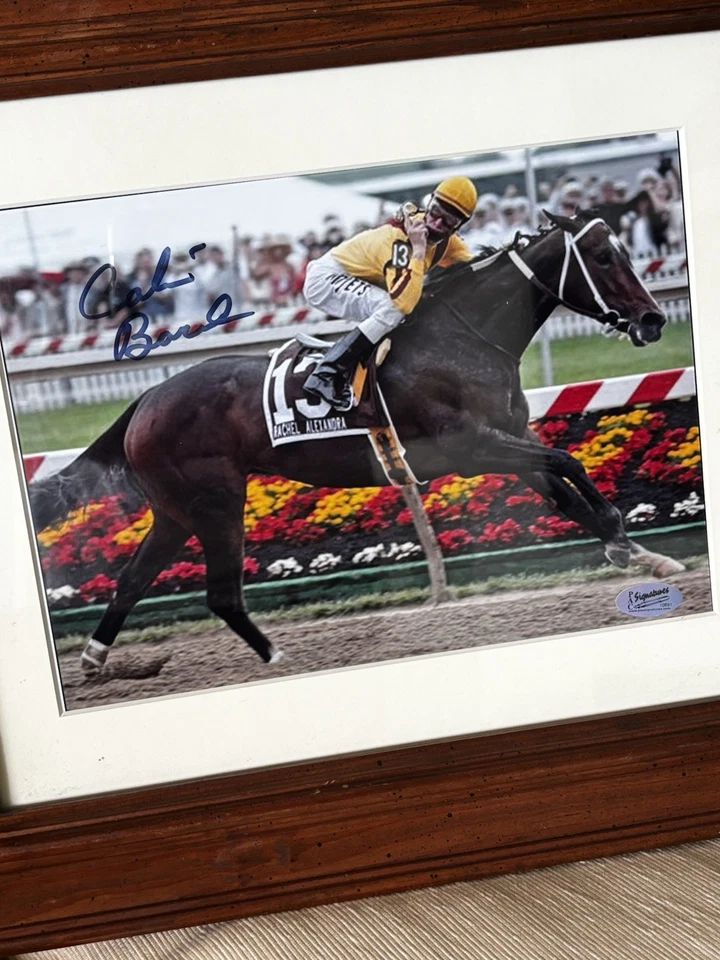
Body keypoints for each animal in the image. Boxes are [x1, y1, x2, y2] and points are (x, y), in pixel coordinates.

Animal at [30, 210, 682, 672]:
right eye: (603, 256)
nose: (653, 320)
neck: (463, 337)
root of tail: (145, 400)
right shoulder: (471, 446)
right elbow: (569, 459)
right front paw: (624, 537)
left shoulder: (510, 437)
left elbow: (565, 486)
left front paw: (640, 552)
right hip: (215, 502)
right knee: (220, 594)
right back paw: (276, 656)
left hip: (174, 511)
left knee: (134, 577)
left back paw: (96, 659)